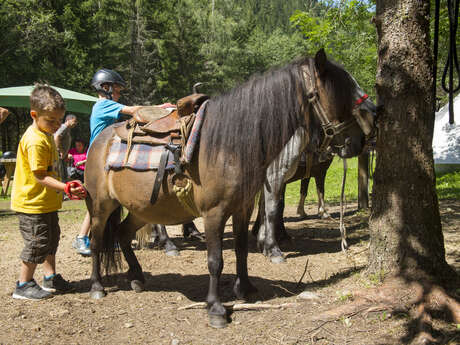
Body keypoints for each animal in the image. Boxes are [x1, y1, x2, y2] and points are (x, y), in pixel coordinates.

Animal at [85, 49, 374, 328]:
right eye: (341, 93)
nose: (361, 140)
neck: (229, 146)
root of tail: (100, 140)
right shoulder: (214, 213)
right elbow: (216, 260)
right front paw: (215, 308)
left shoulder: (242, 207)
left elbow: (241, 249)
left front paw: (245, 288)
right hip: (101, 206)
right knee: (98, 240)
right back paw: (98, 286)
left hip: (140, 209)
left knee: (122, 234)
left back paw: (136, 277)